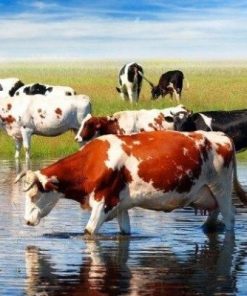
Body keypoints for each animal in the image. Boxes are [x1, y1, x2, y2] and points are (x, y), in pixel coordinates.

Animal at [14, 130, 247, 236]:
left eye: (33, 195)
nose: (26, 221)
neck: (93, 161)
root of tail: (220, 135)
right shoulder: (120, 204)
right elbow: (124, 232)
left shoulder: (103, 202)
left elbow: (89, 231)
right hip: (209, 193)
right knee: (214, 216)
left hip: (222, 188)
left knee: (230, 218)